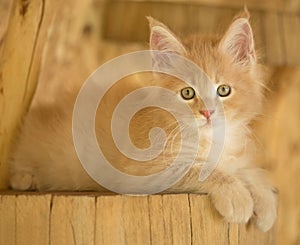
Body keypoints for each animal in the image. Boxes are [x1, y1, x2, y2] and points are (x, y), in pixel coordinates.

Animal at [9, 11, 276, 231]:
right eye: (187, 93)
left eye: (223, 90)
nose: (207, 112)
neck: (210, 139)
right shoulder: (137, 172)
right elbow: (199, 169)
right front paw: (237, 197)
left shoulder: (235, 156)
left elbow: (249, 170)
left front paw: (265, 203)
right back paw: (25, 178)